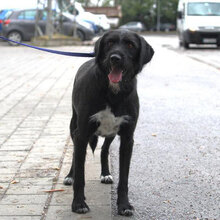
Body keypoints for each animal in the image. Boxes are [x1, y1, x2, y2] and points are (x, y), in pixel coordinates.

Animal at [63, 29, 153, 217]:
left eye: (130, 45)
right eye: (109, 43)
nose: (115, 58)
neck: (113, 93)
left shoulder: (127, 138)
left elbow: (124, 178)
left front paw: (124, 205)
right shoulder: (82, 134)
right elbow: (80, 175)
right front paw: (78, 203)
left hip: (111, 132)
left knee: (104, 150)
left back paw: (105, 173)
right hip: (73, 126)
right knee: (75, 154)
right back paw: (70, 175)